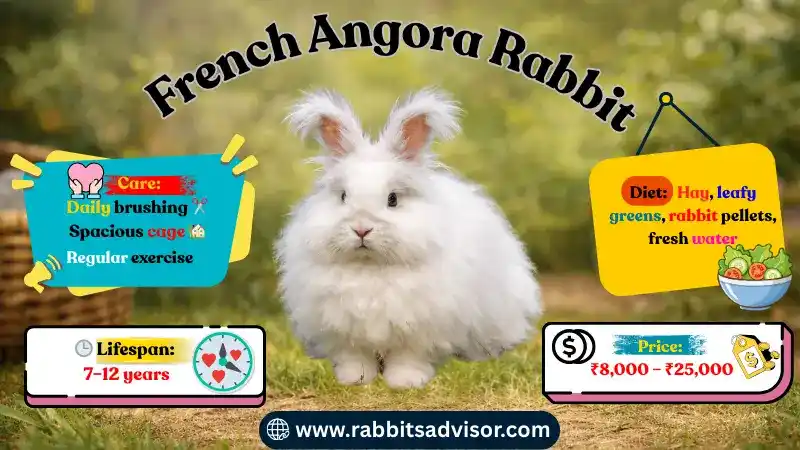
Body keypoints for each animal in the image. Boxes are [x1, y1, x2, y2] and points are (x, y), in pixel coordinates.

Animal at [275, 87, 542, 389]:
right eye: (343, 196)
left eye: (393, 199)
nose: (362, 228)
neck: (371, 268)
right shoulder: (343, 329)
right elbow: (355, 356)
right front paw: (355, 379)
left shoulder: (418, 329)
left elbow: (408, 357)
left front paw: (405, 382)